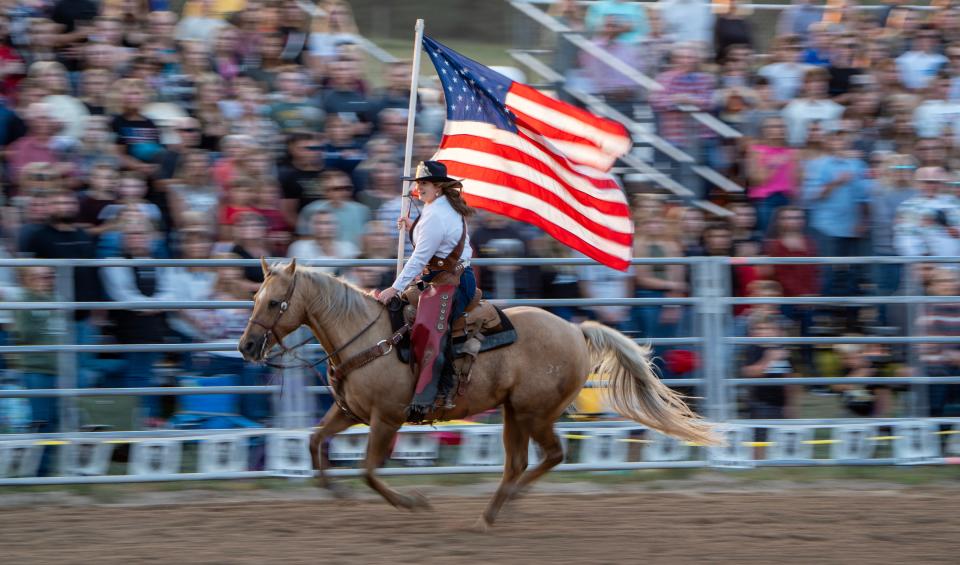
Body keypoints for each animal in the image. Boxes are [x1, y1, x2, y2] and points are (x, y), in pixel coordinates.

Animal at [238, 260, 720, 528]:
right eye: (255, 296)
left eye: (276, 303)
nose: (246, 347)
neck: (368, 337)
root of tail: (575, 330)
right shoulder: (349, 411)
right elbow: (315, 440)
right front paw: (334, 491)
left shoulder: (386, 419)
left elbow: (370, 472)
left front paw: (414, 503)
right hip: (513, 412)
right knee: (520, 463)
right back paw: (498, 508)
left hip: (533, 412)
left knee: (550, 455)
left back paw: (500, 508)